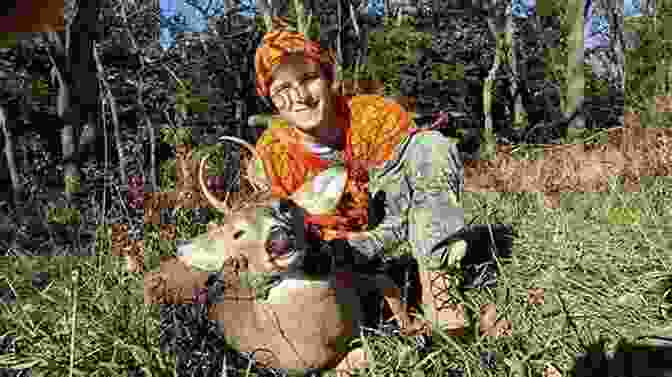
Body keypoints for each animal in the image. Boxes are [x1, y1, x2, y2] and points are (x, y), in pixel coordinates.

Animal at [144, 136, 428, 376]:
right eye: (237, 233)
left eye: (285, 205)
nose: (278, 240)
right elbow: (368, 355)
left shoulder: (353, 275)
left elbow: (389, 287)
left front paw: (416, 325)